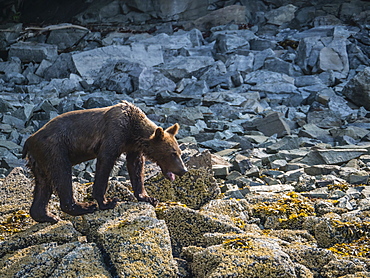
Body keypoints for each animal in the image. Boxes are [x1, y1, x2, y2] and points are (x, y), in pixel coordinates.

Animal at [22, 101, 188, 223]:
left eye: (179, 152)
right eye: (173, 153)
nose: (183, 170)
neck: (133, 129)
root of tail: (29, 140)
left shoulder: (133, 146)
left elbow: (135, 167)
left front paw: (148, 197)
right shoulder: (114, 133)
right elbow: (105, 162)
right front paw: (107, 202)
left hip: (40, 161)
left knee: (44, 184)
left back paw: (46, 215)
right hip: (55, 149)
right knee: (62, 174)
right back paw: (84, 207)